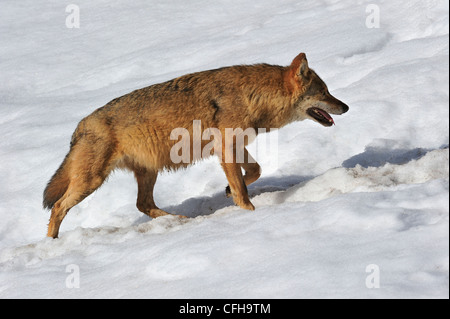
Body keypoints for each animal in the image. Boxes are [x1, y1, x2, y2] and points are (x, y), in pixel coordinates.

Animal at [44, 53, 350, 238]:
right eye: (325, 92)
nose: (346, 106)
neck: (252, 96)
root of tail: (80, 126)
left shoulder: (234, 147)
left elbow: (255, 171)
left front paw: (227, 191)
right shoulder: (226, 148)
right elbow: (243, 190)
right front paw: (250, 215)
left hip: (147, 172)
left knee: (143, 204)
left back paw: (177, 219)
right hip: (92, 181)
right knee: (57, 207)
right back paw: (52, 243)